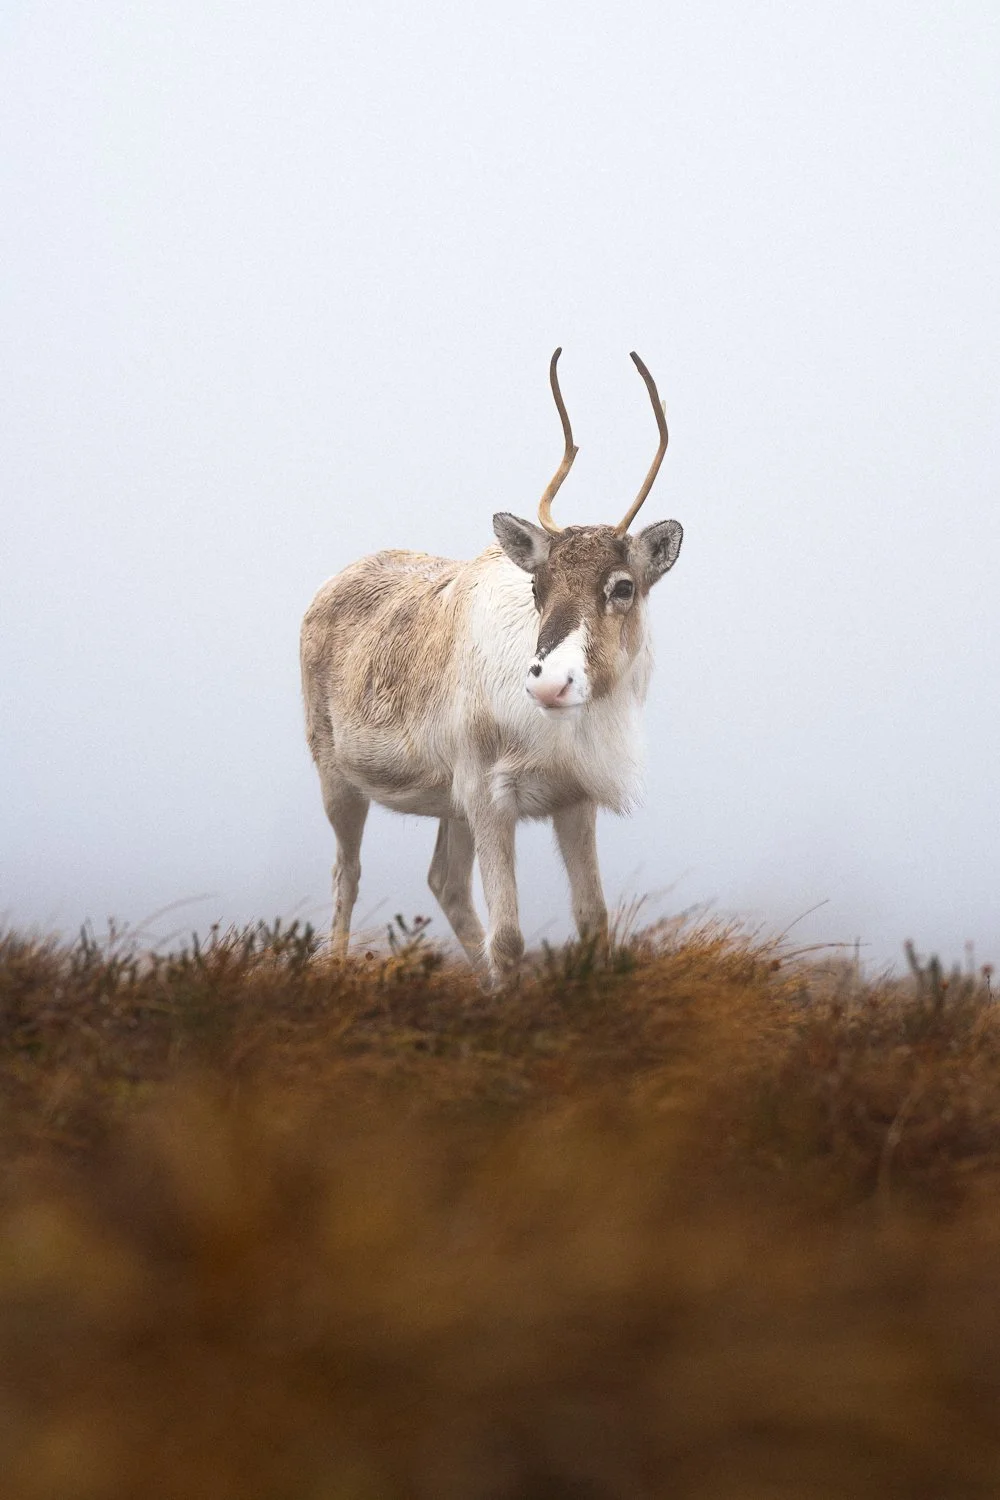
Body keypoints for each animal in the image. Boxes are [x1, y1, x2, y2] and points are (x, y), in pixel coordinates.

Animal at [300, 349, 683, 983]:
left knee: (444, 882)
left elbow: (593, 920)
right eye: (537, 585)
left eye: (622, 586)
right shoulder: (489, 797)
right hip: (337, 776)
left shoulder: (572, 799)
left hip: (447, 800)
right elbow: (508, 938)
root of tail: (329, 585)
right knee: (345, 874)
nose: (551, 682)